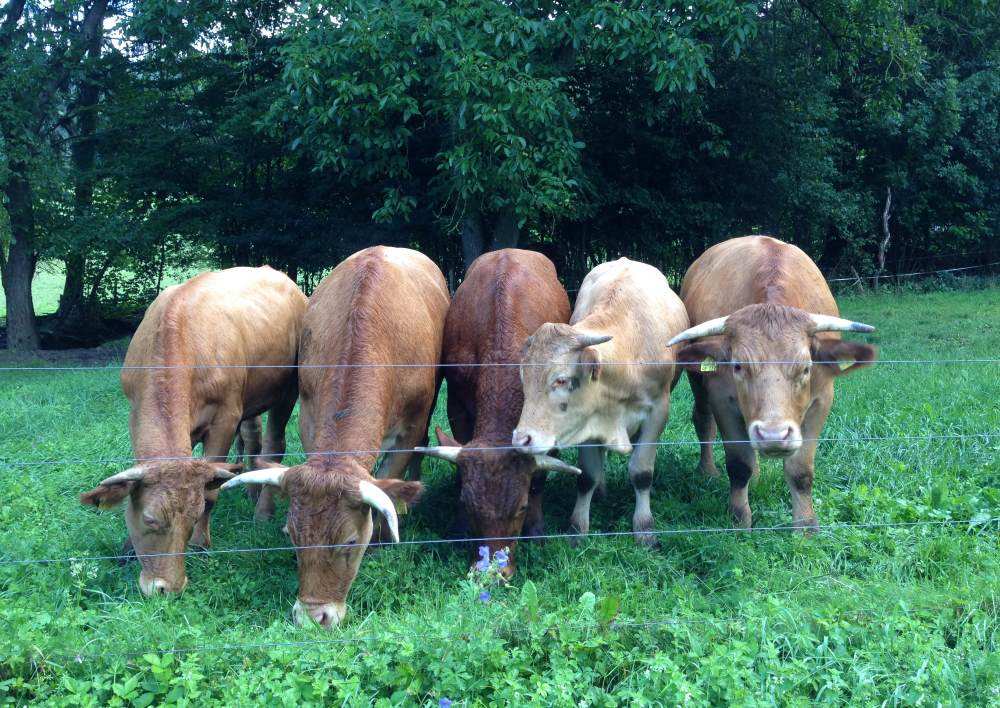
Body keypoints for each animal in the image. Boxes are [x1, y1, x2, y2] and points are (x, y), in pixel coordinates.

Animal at [80, 268, 306, 596]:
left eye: (193, 517)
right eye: (149, 518)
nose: (167, 588)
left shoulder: (225, 418)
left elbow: (210, 492)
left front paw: (200, 544)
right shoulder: (136, 411)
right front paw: (127, 549)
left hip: (287, 392)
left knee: (274, 443)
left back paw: (262, 512)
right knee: (252, 437)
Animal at [227, 246, 450, 628]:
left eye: (349, 541)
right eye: (293, 537)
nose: (313, 617)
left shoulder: (412, 426)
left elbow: (393, 475)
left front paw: (381, 541)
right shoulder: (309, 417)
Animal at [418, 252, 584, 580]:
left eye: (521, 507)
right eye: (468, 505)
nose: (493, 573)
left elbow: (539, 476)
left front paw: (536, 530)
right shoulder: (457, 404)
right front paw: (458, 530)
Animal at [512, 258, 692, 544]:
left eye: (561, 380)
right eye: (524, 379)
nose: (521, 440)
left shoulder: (658, 411)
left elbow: (642, 472)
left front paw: (644, 528)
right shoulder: (586, 419)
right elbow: (587, 475)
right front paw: (577, 528)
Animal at [672, 235, 876, 528]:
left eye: (805, 368)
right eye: (738, 366)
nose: (773, 436)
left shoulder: (822, 399)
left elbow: (801, 470)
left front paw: (805, 526)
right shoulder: (722, 399)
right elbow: (739, 464)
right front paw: (740, 519)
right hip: (697, 379)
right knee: (703, 420)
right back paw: (707, 470)